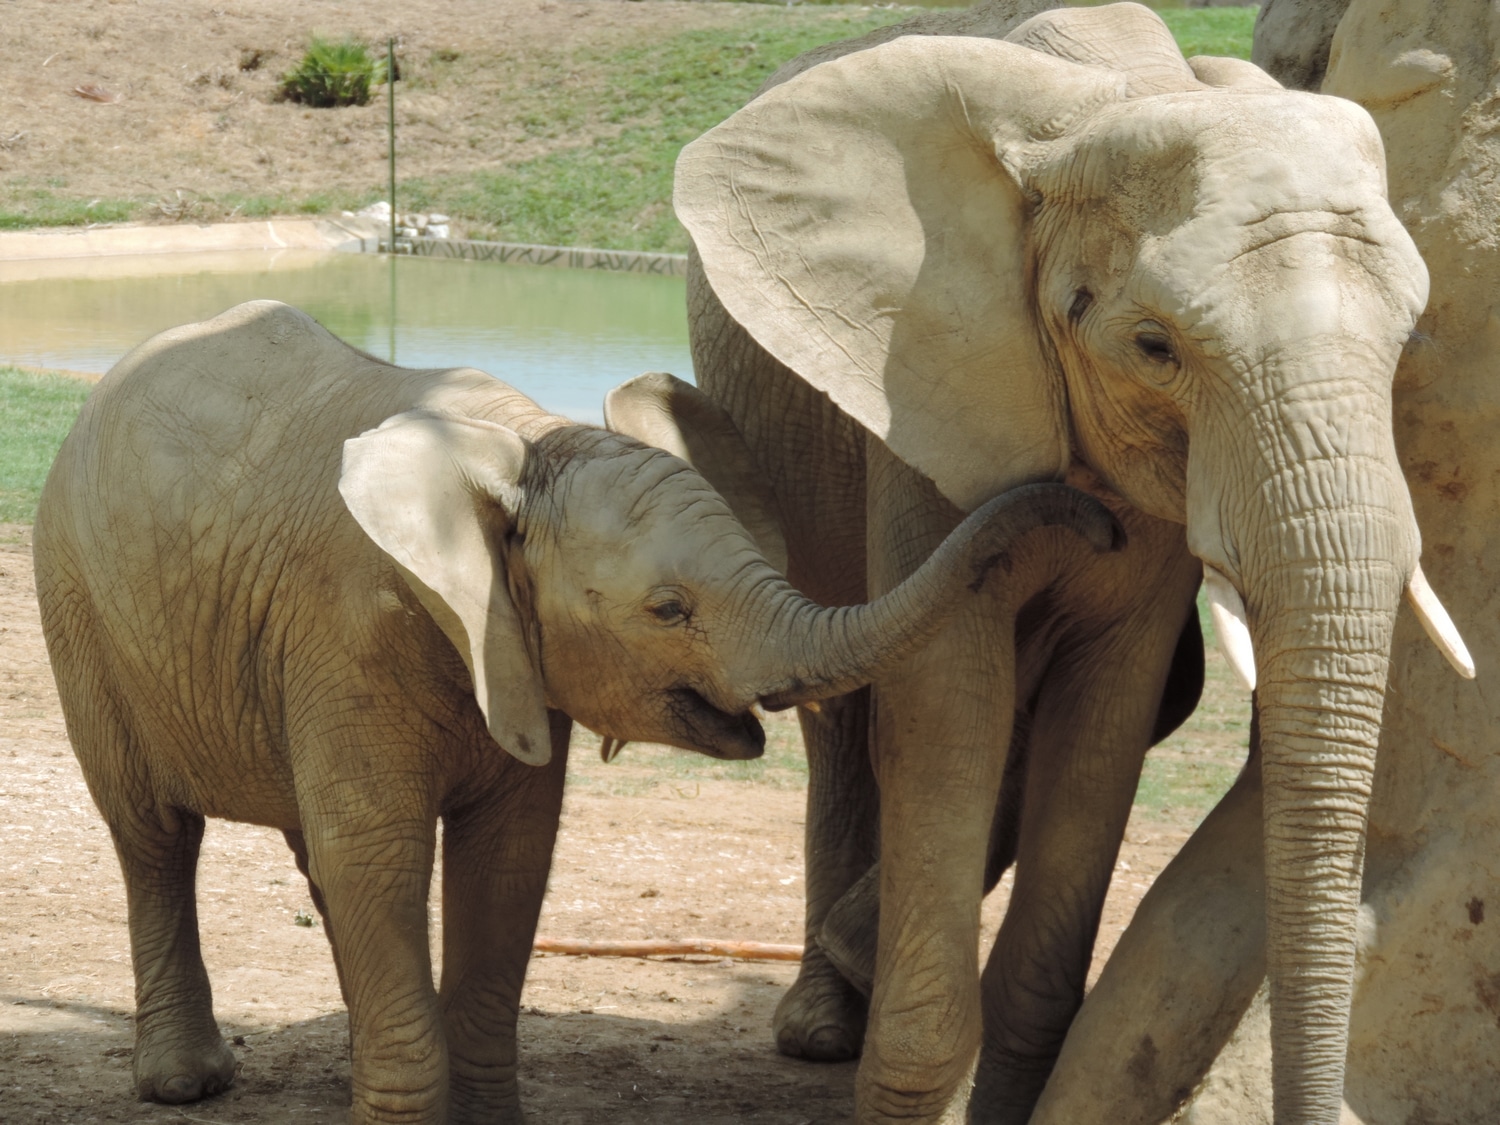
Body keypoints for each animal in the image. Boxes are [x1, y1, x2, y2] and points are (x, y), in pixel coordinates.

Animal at [35, 301, 1122, 1125]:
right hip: (75, 602)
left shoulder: (499, 650)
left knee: (308, 853)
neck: (525, 450)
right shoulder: (348, 625)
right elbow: (379, 849)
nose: (1106, 524)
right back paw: (185, 1085)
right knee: (154, 837)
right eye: (668, 609)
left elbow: (510, 858)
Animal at [675, 6, 1470, 1125]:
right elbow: (946, 700)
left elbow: (1107, 716)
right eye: (1154, 345)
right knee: (845, 717)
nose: (1081, 519)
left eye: (1408, 335)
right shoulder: (926, 378)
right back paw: (824, 1021)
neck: (1109, 104)